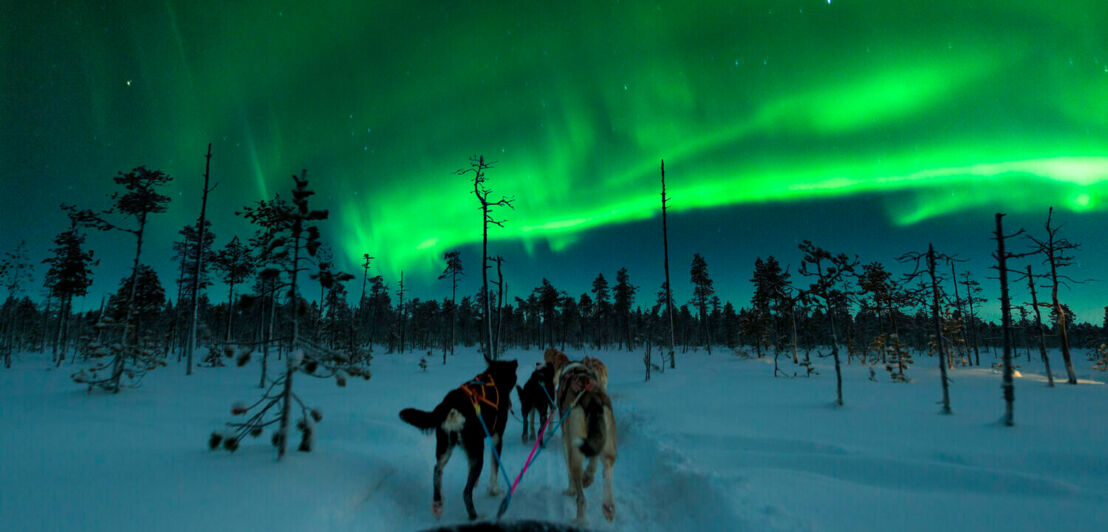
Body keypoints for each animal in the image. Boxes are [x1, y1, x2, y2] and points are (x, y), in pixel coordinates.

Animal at [558, 356, 620, 523]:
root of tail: (593, 399)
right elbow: (594, 459)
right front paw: (590, 474)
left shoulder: (566, 442)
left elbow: (568, 472)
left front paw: (570, 490)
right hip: (608, 444)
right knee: (607, 468)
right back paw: (607, 505)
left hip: (575, 453)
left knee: (581, 498)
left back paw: (580, 520)